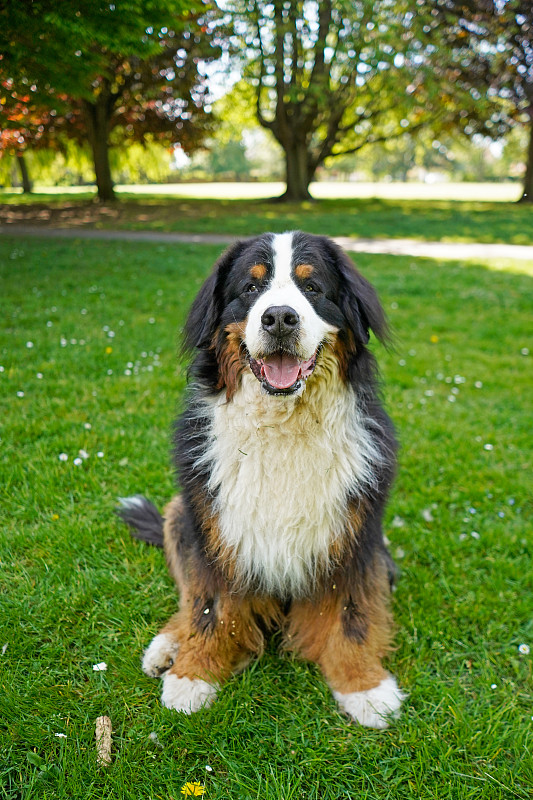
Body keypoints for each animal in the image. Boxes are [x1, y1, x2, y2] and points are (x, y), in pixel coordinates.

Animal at [118, 228, 406, 728]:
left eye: (312, 287)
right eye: (251, 288)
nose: (279, 318)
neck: (282, 426)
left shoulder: (355, 537)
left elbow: (351, 615)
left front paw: (363, 686)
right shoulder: (215, 530)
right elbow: (209, 606)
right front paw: (195, 673)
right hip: (180, 514)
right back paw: (169, 645)